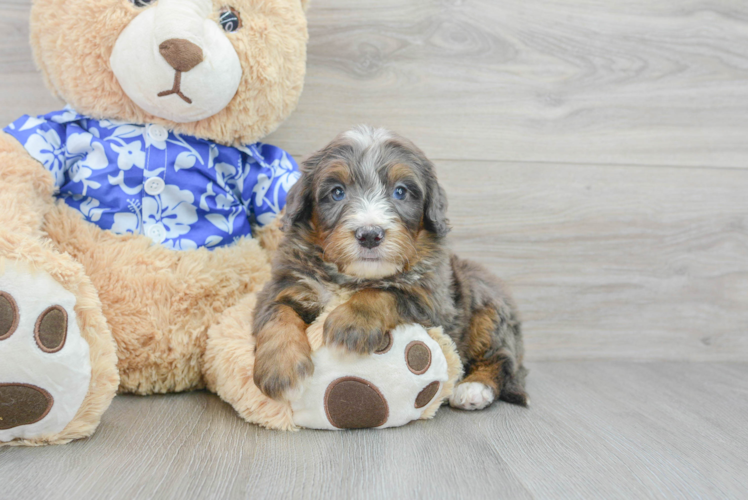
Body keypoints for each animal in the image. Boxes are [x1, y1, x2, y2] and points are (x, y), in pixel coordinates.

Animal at [251, 127, 524, 412]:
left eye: (400, 192)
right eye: (337, 192)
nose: (370, 235)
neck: (354, 277)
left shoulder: (435, 301)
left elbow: (386, 293)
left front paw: (351, 323)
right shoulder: (284, 285)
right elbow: (277, 314)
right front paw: (280, 370)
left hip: (488, 309)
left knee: (502, 359)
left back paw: (474, 389)